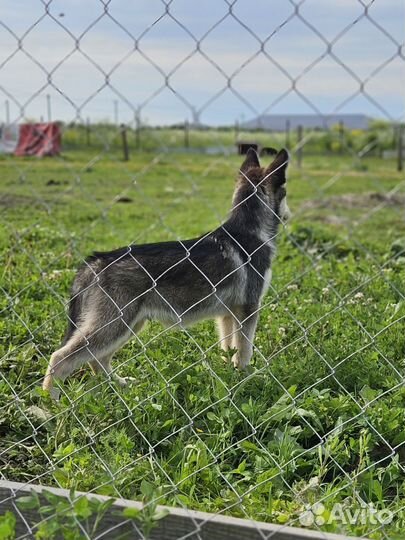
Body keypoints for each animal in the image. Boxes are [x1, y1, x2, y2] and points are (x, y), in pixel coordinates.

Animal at [43, 148, 290, 392]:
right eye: (286, 193)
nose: (290, 214)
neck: (249, 230)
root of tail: (96, 261)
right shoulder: (249, 309)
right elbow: (244, 352)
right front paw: (246, 378)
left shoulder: (228, 314)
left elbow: (229, 349)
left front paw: (231, 374)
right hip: (114, 325)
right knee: (60, 359)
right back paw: (50, 399)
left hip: (128, 325)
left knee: (98, 360)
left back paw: (118, 385)